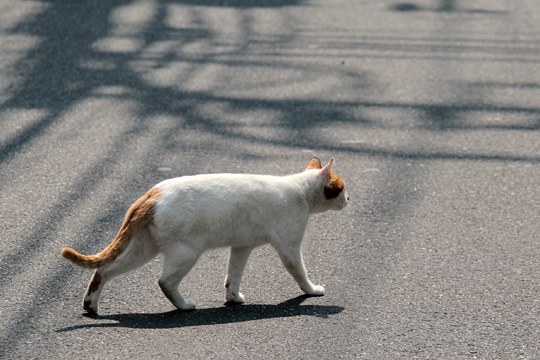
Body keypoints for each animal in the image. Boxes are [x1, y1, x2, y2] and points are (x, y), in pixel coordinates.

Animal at [61, 156, 348, 314]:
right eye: (343, 189)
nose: (350, 199)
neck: (301, 190)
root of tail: (151, 194)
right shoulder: (289, 247)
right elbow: (299, 272)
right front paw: (312, 290)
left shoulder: (242, 246)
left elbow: (233, 276)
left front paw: (233, 298)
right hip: (186, 253)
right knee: (164, 281)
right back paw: (185, 305)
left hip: (143, 250)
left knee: (103, 271)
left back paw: (90, 305)